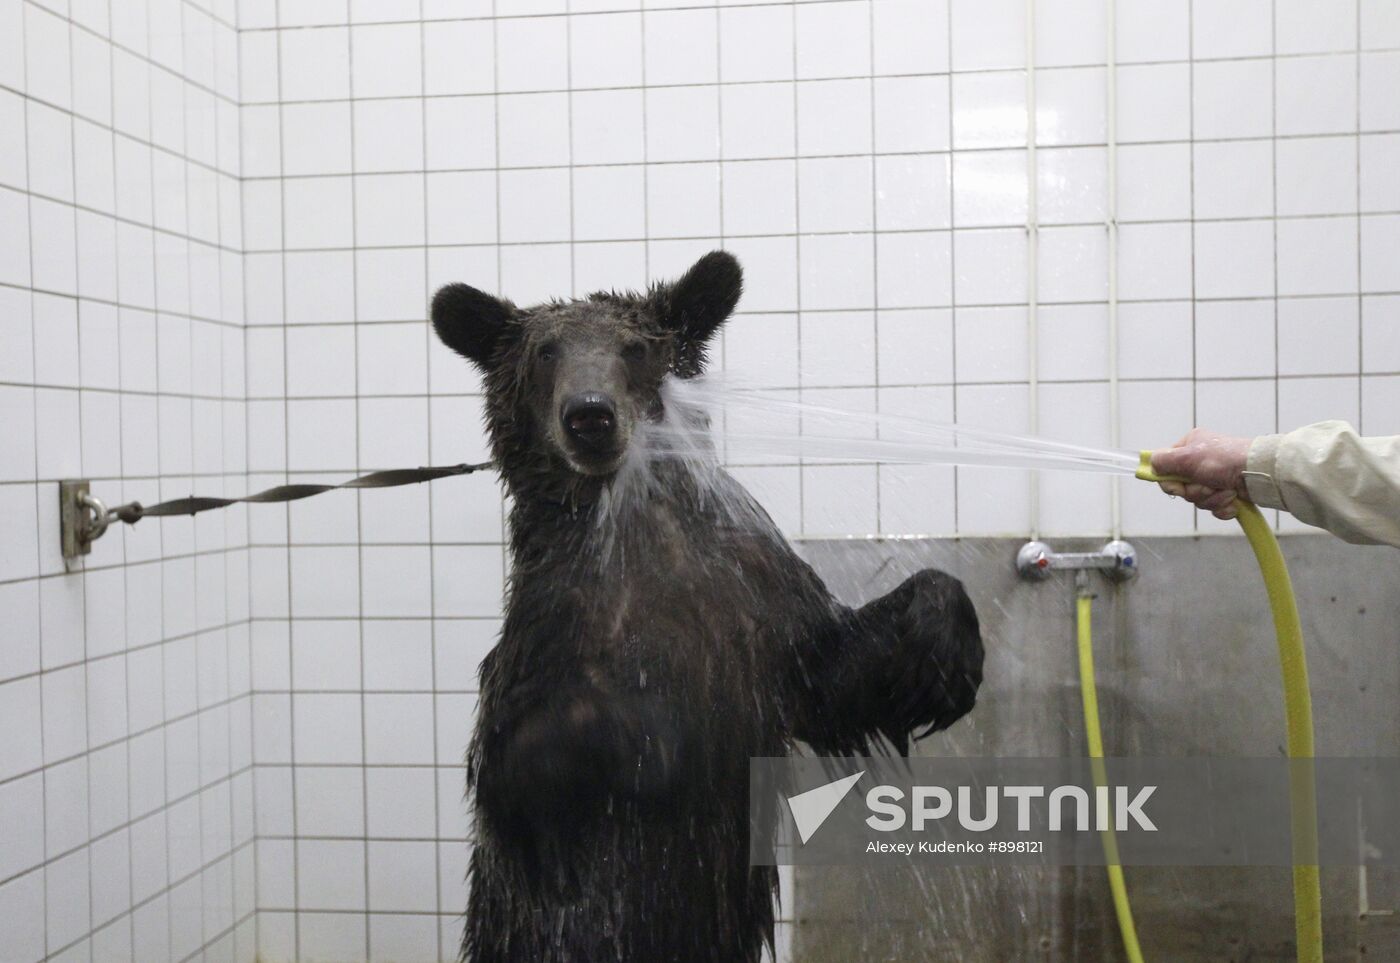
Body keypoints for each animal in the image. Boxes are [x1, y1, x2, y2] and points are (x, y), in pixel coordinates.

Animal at [431, 250, 984, 963]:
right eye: (546, 352)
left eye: (635, 348)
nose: (590, 415)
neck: (635, 525)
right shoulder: (548, 629)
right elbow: (523, 764)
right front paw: (649, 726)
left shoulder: (759, 597)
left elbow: (837, 673)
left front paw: (944, 653)